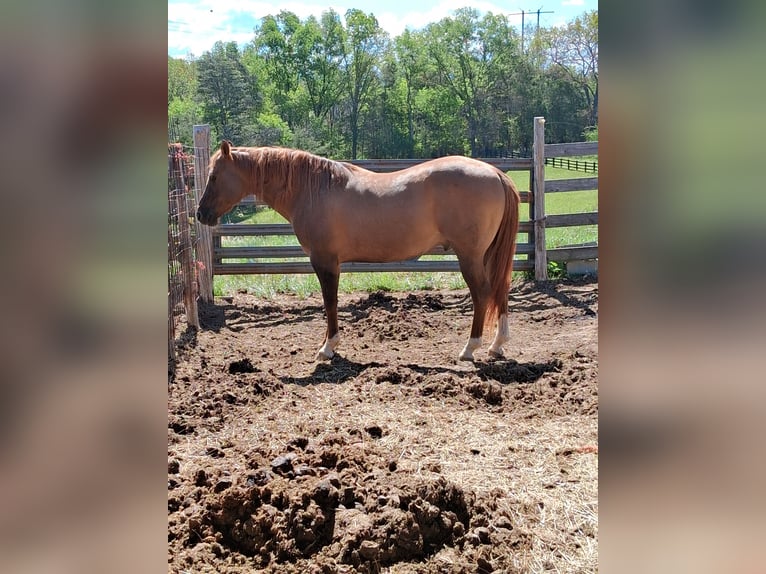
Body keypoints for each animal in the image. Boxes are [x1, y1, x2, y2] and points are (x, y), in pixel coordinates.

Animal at [197, 141, 520, 362]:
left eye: (214, 177)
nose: (200, 214)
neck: (313, 189)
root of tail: (495, 173)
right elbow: (330, 303)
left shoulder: (325, 261)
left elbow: (330, 302)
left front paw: (328, 348)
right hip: (487, 255)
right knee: (500, 289)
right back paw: (497, 345)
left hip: (469, 256)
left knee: (482, 293)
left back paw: (470, 348)